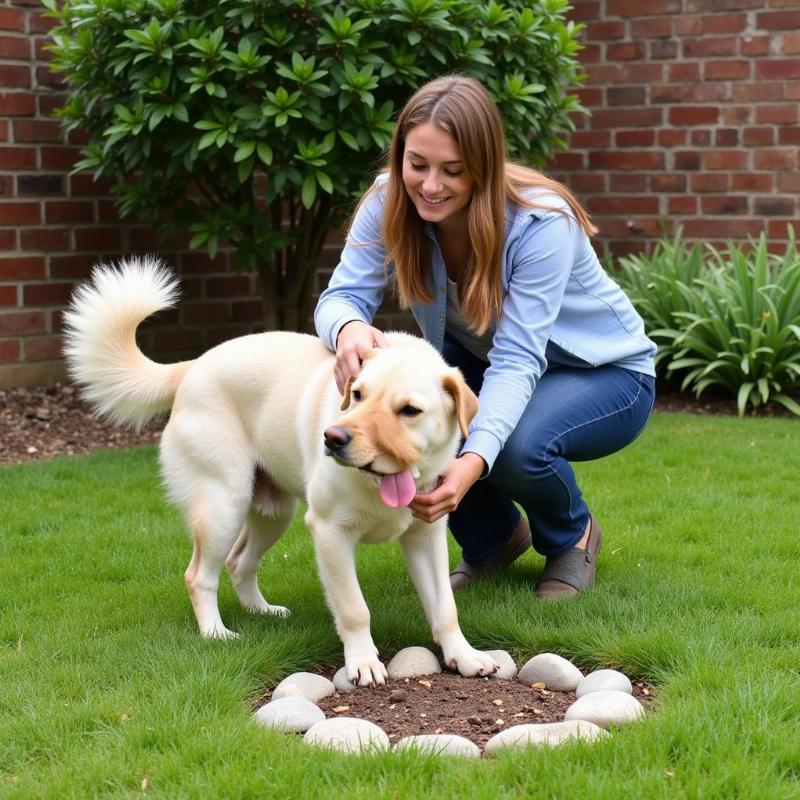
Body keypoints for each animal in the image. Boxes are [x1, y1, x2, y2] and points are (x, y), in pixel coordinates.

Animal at [64, 260, 500, 684]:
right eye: (357, 394)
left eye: (409, 410)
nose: (333, 438)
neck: (380, 481)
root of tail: (193, 366)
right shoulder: (329, 534)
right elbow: (354, 609)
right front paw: (363, 663)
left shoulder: (426, 537)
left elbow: (445, 608)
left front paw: (464, 656)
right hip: (224, 505)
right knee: (198, 575)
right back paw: (216, 633)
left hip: (273, 513)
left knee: (240, 562)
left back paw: (262, 612)